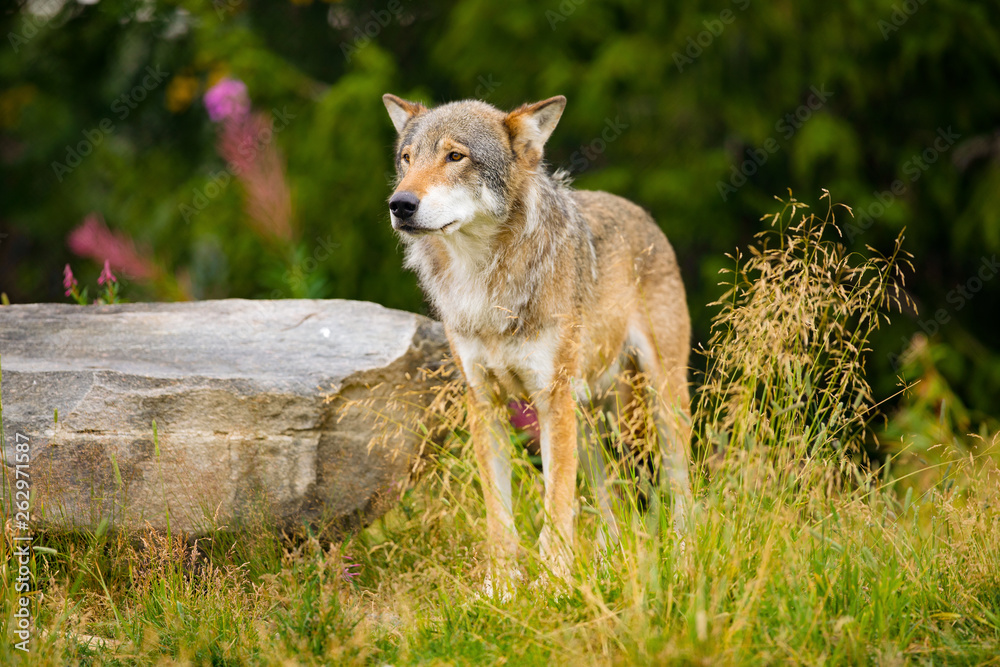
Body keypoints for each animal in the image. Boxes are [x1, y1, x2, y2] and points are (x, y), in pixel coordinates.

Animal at [378, 94, 692, 584]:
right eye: (407, 160)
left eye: (455, 156)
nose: (400, 204)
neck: (485, 282)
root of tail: (640, 213)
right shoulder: (484, 402)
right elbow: (499, 516)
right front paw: (500, 587)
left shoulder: (550, 398)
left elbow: (557, 502)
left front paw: (553, 580)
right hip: (588, 418)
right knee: (610, 500)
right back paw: (607, 562)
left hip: (659, 400)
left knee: (681, 484)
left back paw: (683, 556)